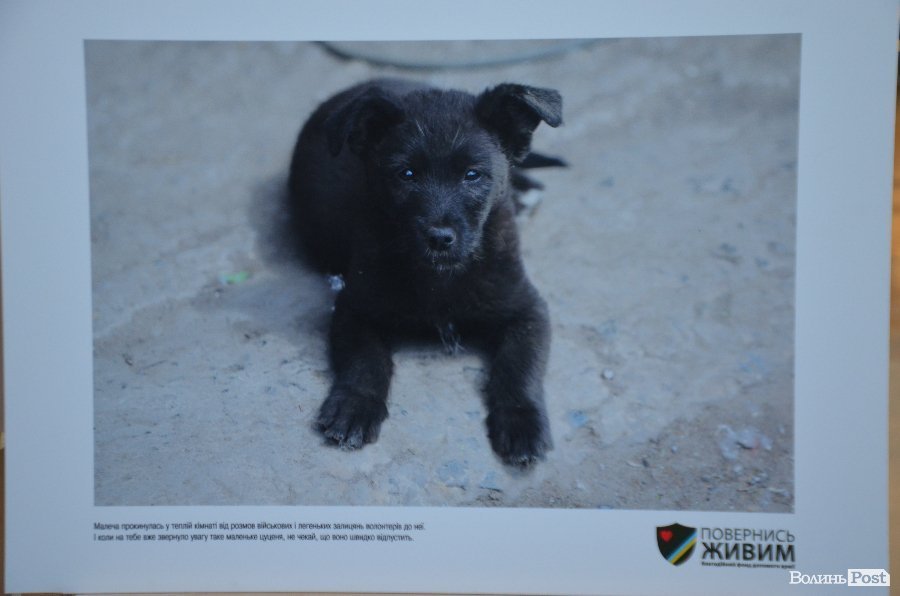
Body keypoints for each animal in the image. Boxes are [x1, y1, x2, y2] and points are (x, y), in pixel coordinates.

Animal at [288, 78, 562, 466]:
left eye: (472, 175)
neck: (441, 277)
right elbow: (365, 360)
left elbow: (519, 364)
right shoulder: (354, 309)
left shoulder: (527, 309)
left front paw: (522, 420)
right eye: (406, 174)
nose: (439, 238)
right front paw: (355, 405)